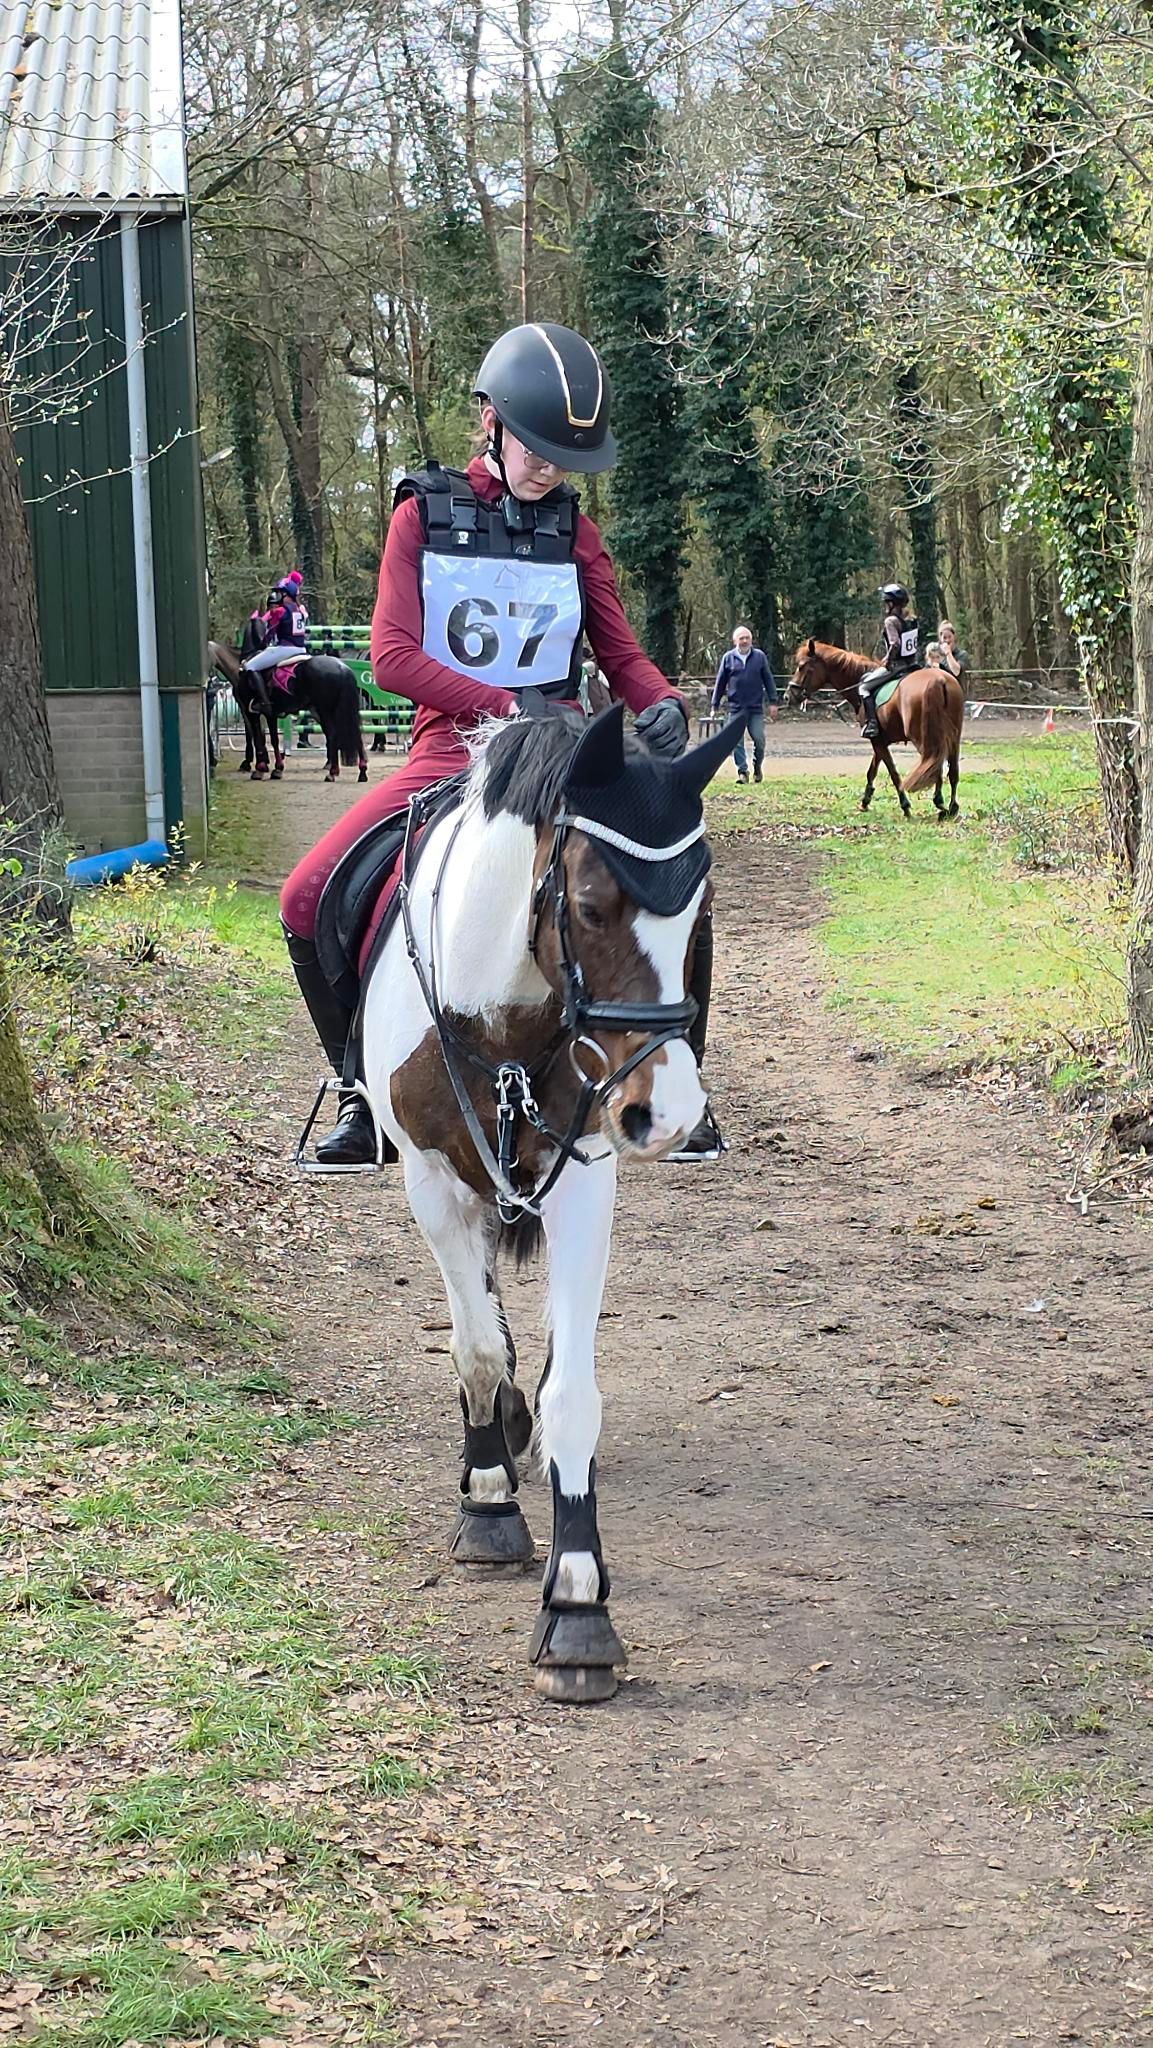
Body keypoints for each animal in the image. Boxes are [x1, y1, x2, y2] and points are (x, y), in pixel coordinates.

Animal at [207, 641, 368, 784]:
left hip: (325, 711)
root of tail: (343, 668)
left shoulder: (252, 712)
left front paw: (260, 767)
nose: (210, 684)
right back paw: (360, 772)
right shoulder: (269, 714)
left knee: (334, 735)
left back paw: (332, 772)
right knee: (354, 736)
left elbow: (258, 737)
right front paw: (275, 768)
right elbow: (271, 739)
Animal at [357, 702, 737, 1704]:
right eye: (593, 904)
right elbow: (477, 1348)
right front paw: (490, 1504)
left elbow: (572, 1389)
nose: (666, 1114)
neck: (503, 1020)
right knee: (477, 1318)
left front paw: (576, 1605)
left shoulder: (584, 1171)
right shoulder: (431, 1181)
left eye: (700, 914)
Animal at [786, 639, 964, 820]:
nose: (788, 696)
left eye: (801, 666)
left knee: (934, 765)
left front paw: (905, 806)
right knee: (952, 771)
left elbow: (892, 773)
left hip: (923, 739)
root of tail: (940, 680)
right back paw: (951, 807)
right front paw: (865, 801)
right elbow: (872, 770)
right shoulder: (879, 740)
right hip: (953, 737)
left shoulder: (877, 741)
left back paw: (940, 803)